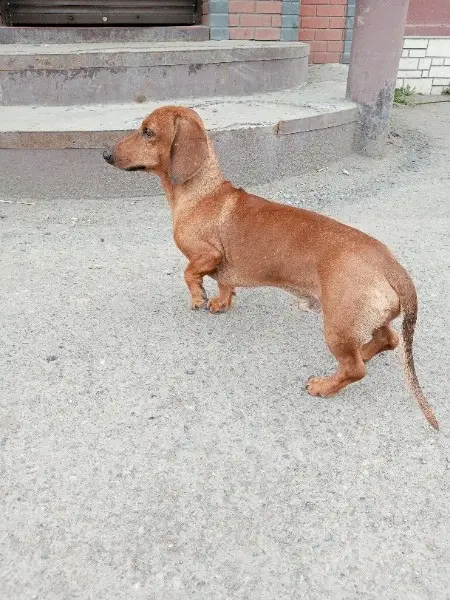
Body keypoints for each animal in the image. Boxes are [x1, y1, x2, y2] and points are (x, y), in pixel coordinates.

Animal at [103, 105, 439, 430]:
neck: (203, 194)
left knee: (356, 369)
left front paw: (198, 296)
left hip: (337, 326)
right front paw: (220, 301)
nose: (105, 154)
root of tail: (391, 265)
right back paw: (363, 354)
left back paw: (323, 385)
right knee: (387, 340)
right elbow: (224, 284)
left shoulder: (207, 255)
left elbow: (189, 273)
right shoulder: (221, 265)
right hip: (364, 319)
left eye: (148, 131)